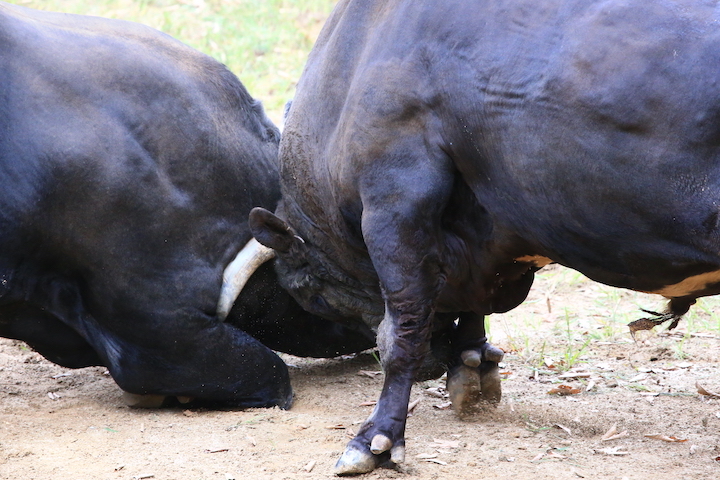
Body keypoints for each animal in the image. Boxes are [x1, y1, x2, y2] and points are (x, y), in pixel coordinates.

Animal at [249, 0, 720, 474]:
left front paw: (377, 438)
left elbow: (401, 333)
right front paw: (471, 360)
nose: (435, 362)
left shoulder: (395, 199)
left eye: (314, 296)